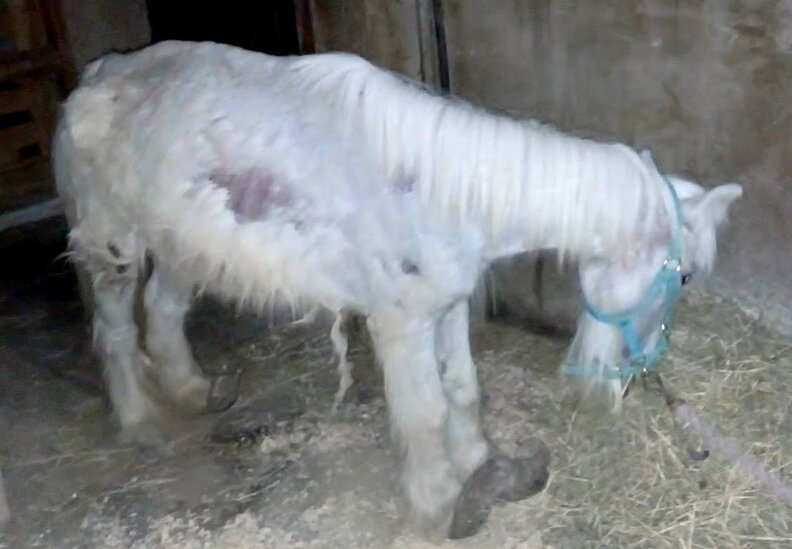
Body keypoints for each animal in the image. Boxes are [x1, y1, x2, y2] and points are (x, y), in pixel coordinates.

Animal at [52, 41, 742, 539]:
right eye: (682, 275)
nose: (626, 382)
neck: (449, 191)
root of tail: (96, 76)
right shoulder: (402, 322)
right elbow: (426, 411)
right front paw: (437, 503)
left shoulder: (449, 305)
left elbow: (463, 387)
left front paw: (476, 463)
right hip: (113, 248)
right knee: (117, 330)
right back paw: (140, 421)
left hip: (183, 248)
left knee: (163, 311)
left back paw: (192, 392)